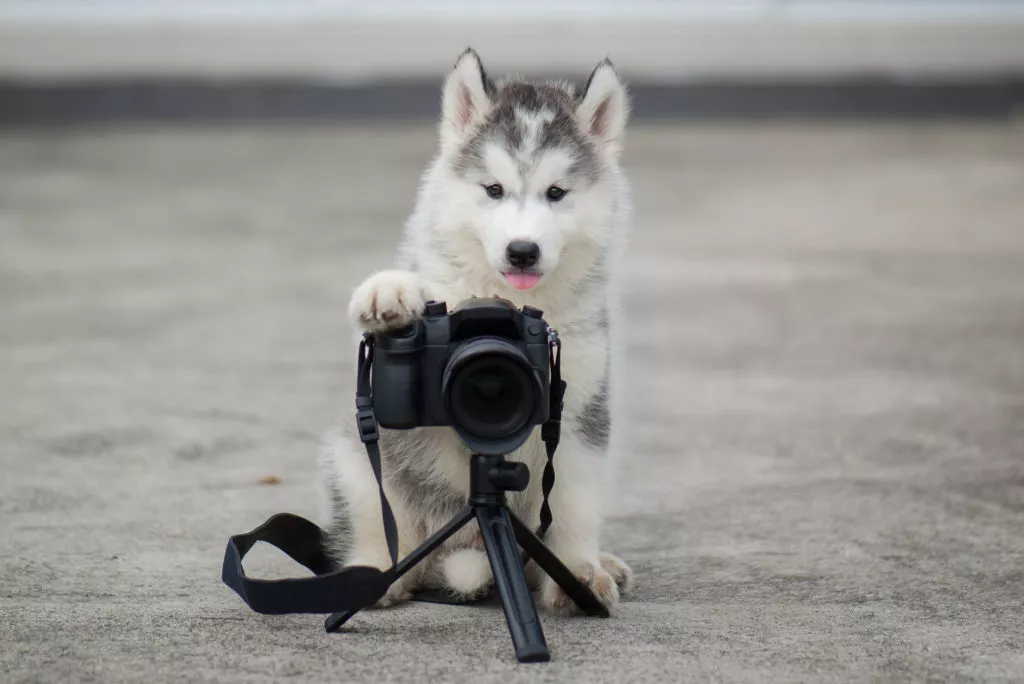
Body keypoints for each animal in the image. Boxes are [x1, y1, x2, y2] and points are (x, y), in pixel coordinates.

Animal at [317, 48, 630, 614]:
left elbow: (573, 505)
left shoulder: (579, 412)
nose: (522, 251)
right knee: (382, 524)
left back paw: (600, 564)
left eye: (556, 193)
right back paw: (375, 575)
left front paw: (578, 573)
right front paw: (389, 293)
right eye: (494, 190)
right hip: (352, 461)